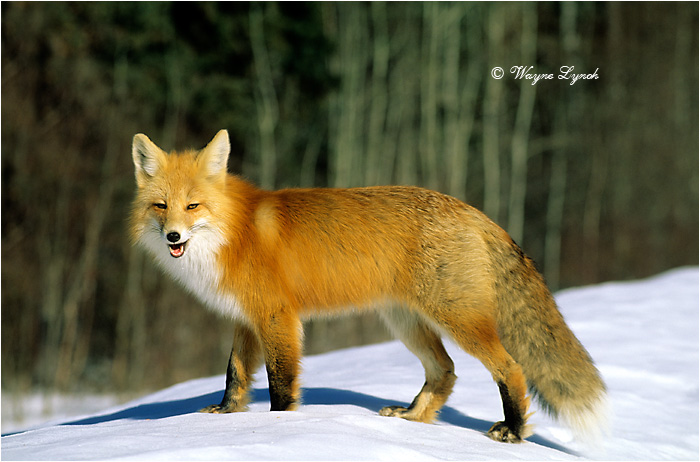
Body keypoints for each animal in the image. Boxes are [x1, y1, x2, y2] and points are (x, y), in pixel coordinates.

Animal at [130, 129, 607, 443]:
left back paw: (513, 429)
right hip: (406, 324)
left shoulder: (276, 317)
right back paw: (413, 418)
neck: (233, 232)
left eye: (193, 206)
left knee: (511, 369)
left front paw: (278, 427)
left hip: (459, 320)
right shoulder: (245, 319)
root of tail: (472, 210)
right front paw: (224, 416)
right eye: (161, 206)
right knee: (445, 370)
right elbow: (234, 375)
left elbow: (281, 383)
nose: (173, 237)